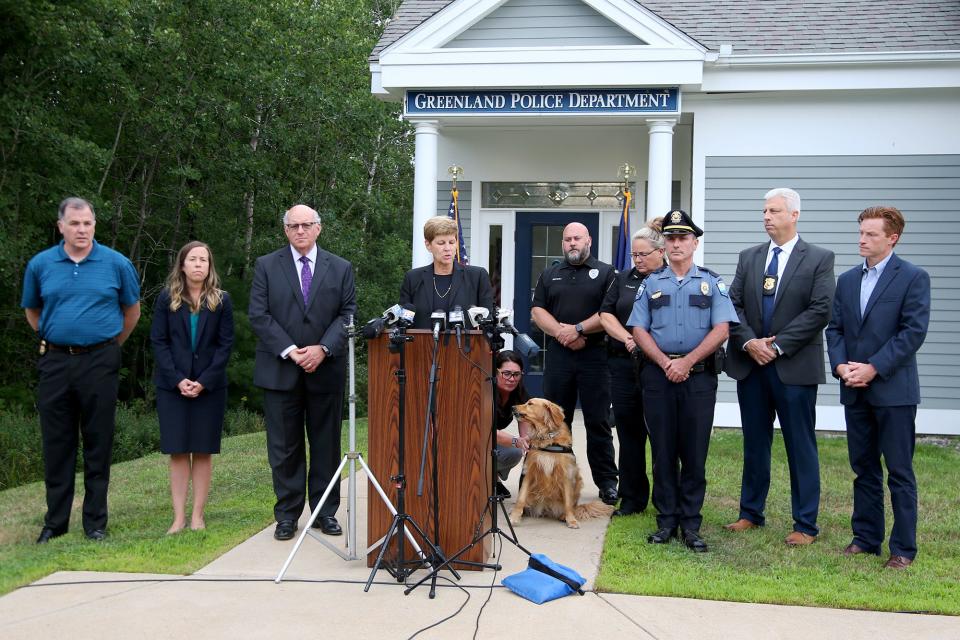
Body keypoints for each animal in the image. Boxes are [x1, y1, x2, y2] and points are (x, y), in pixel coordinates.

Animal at [506, 400, 612, 528]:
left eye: (530, 403)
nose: (512, 407)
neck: (546, 436)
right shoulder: (529, 471)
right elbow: (521, 498)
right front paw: (514, 517)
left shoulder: (566, 473)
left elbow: (568, 502)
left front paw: (571, 520)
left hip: (578, 481)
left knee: (573, 506)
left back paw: (563, 516)